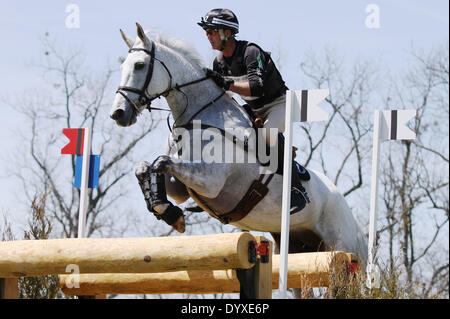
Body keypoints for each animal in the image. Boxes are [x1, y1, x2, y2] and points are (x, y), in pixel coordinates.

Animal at [110, 23, 370, 268]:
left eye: (139, 65)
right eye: (123, 67)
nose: (118, 114)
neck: (200, 116)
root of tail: (356, 224)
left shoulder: (211, 181)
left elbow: (161, 162)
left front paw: (168, 212)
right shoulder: (183, 187)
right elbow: (148, 166)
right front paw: (168, 211)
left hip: (343, 244)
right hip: (294, 244)